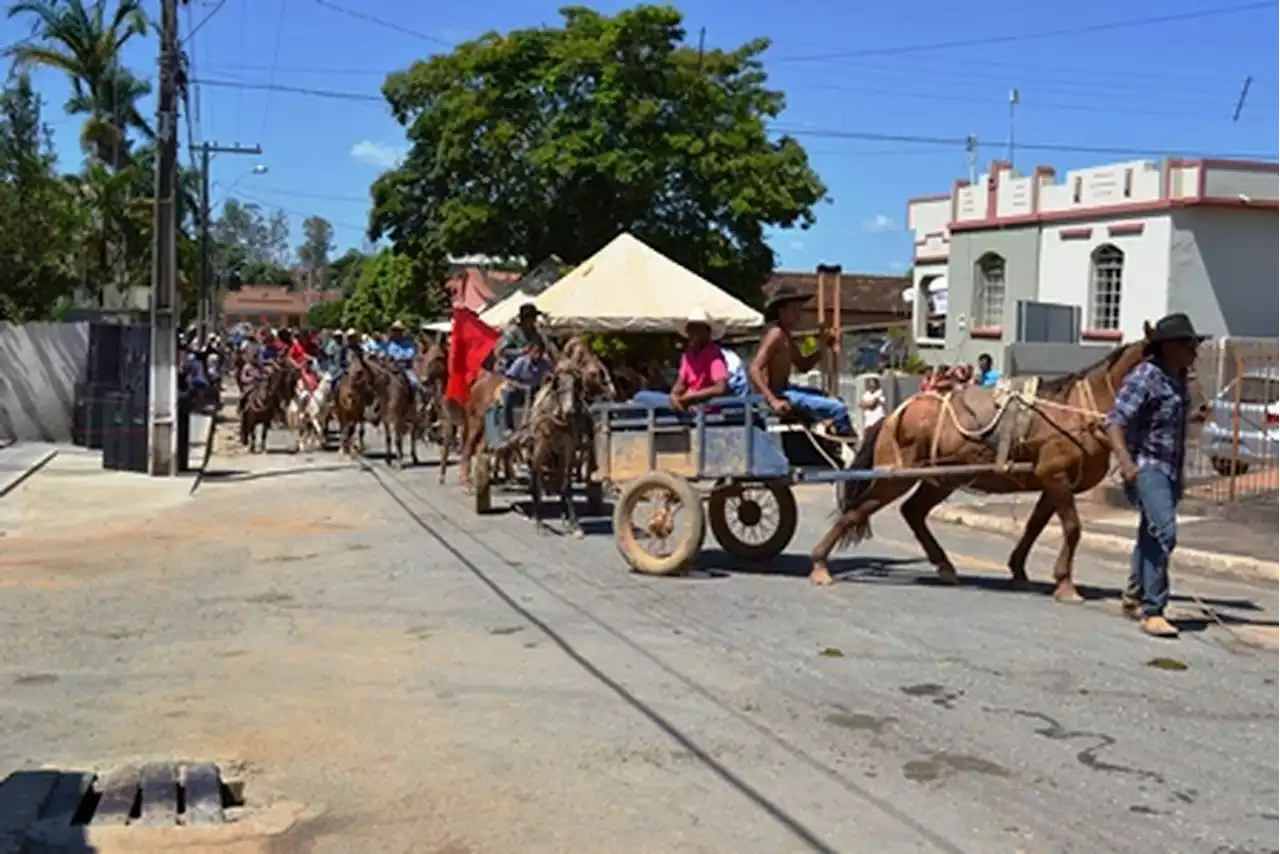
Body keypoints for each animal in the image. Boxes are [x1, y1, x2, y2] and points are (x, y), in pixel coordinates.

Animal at [808, 323, 1208, 599]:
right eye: (1176, 364)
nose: (1203, 408)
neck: (1078, 411)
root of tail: (896, 414)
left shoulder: (1050, 481)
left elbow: (1034, 527)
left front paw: (1020, 571)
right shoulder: (1055, 476)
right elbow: (1073, 528)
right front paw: (1066, 584)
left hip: (942, 479)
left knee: (913, 512)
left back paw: (944, 565)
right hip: (896, 475)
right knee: (858, 511)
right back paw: (820, 563)